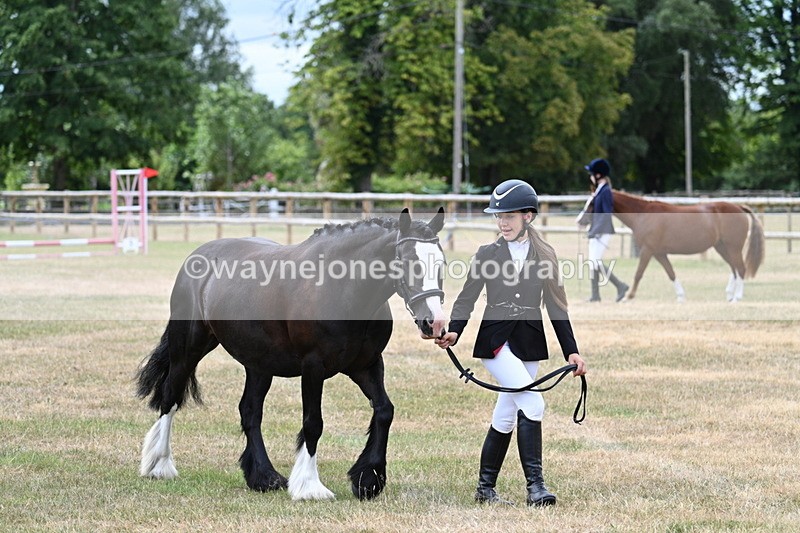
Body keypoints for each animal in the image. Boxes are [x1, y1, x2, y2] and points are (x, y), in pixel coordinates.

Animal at [136, 208, 447, 501]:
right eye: (409, 263)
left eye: (441, 263)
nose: (434, 323)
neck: (341, 289)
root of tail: (199, 255)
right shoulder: (313, 367)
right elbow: (313, 423)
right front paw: (310, 486)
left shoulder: (367, 366)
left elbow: (384, 411)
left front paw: (368, 479)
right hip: (188, 349)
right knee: (171, 397)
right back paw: (159, 465)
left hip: (258, 365)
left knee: (250, 412)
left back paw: (264, 477)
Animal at [608, 191, 765, 302]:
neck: (642, 214)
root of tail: (739, 207)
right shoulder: (659, 253)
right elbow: (671, 273)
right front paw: (681, 297)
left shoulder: (647, 250)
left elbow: (638, 273)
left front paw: (628, 296)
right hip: (723, 248)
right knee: (734, 269)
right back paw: (730, 296)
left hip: (733, 248)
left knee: (741, 269)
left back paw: (737, 298)